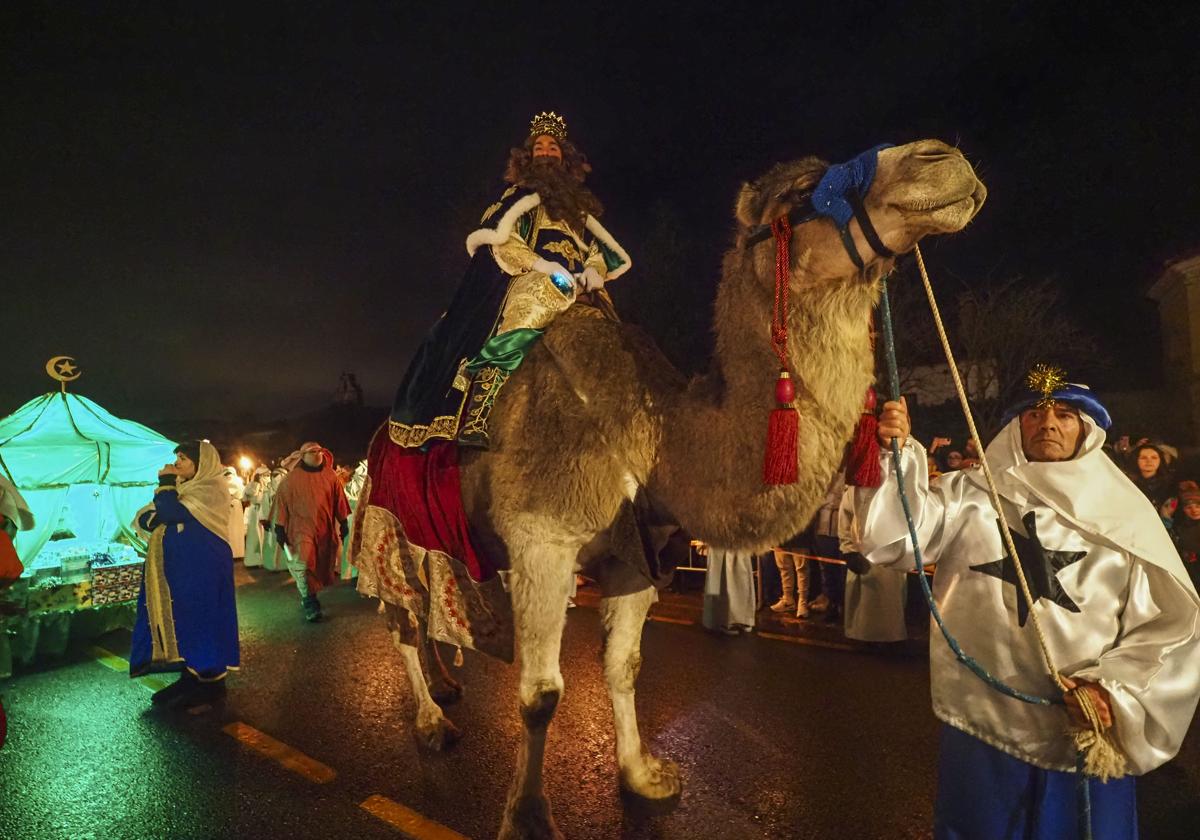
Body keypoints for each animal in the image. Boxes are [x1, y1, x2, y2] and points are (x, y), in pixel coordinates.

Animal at [352, 141, 984, 835]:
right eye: (802, 192)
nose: (942, 158)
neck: (652, 435)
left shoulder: (637, 553)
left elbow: (624, 668)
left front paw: (643, 777)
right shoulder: (544, 538)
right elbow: (541, 694)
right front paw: (528, 817)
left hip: (443, 536)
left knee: (431, 601)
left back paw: (445, 687)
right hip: (385, 518)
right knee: (400, 616)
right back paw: (432, 723)